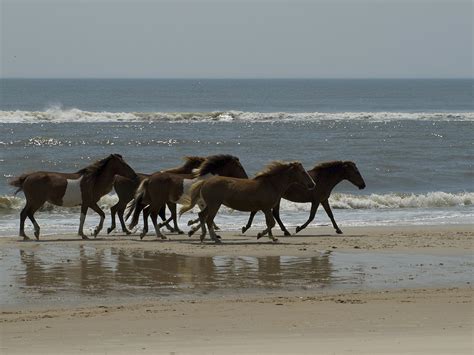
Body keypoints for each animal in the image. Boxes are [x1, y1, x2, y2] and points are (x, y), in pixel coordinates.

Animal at [9, 154, 137, 241]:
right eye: (123, 164)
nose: (135, 176)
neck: (92, 181)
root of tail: (27, 177)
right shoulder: (86, 203)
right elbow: (83, 218)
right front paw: (84, 234)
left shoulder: (91, 203)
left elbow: (102, 214)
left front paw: (96, 231)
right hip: (36, 201)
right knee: (25, 213)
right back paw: (27, 234)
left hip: (35, 201)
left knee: (27, 213)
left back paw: (32, 233)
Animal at [181, 162, 314, 243]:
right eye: (303, 172)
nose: (312, 184)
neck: (271, 184)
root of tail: (205, 182)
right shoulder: (265, 208)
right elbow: (271, 222)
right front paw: (260, 235)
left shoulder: (266, 208)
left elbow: (269, 222)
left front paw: (272, 237)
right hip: (215, 205)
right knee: (208, 219)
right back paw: (215, 238)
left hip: (211, 205)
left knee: (202, 215)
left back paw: (201, 235)